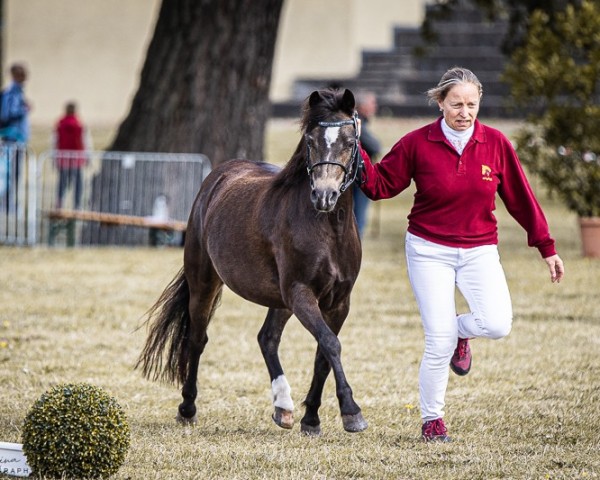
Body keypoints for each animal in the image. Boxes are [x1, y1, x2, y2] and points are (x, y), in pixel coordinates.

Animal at [137, 87, 366, 436]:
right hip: (205, 282)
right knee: (198, 339)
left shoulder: (339, 302)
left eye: (350, 142)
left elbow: (323, 354)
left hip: (280, 299)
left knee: (267, 338)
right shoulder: (301, 292)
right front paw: (351, 412)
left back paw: (283, 407)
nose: (324, 196)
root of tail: (217, 177)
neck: (329, 230)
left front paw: (311, 419)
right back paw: (187, 408)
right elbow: (330, 344)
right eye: (310, 140)